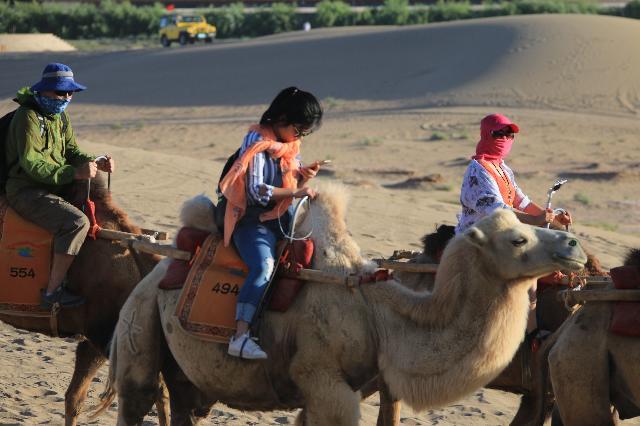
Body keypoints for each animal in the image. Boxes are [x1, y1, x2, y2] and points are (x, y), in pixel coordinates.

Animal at [97, 184, 588, 426]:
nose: (574, 245)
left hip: (181, 367)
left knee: (184, 405)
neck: (379, 314)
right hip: (139, 324)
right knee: (136, 397)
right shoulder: (323, 380)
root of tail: (154, 273)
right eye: (517, 238)